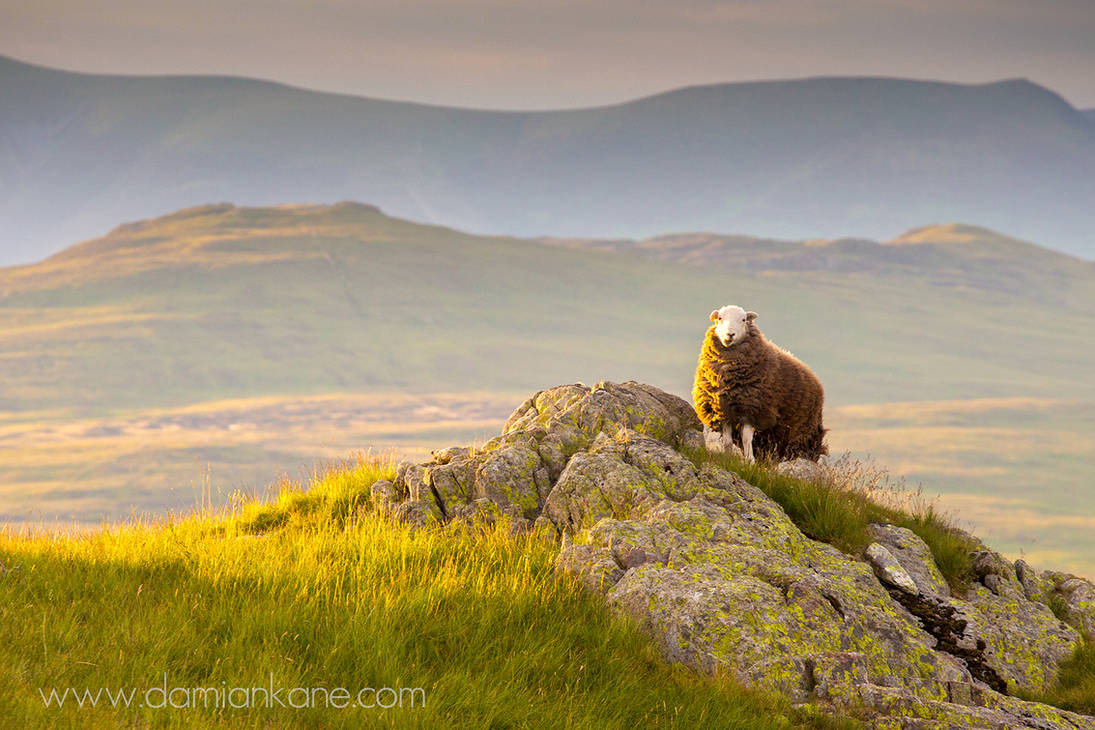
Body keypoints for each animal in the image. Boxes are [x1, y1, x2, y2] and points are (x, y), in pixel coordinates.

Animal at [696, 306, 823, 459]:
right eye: (720, 318)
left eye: (743, 319)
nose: (730, 334)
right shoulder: (723, 409)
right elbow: (727, 441)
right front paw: (728, 457)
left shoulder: (752, 410)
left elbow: (746, 438)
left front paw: (749, 460)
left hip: (802, 431)